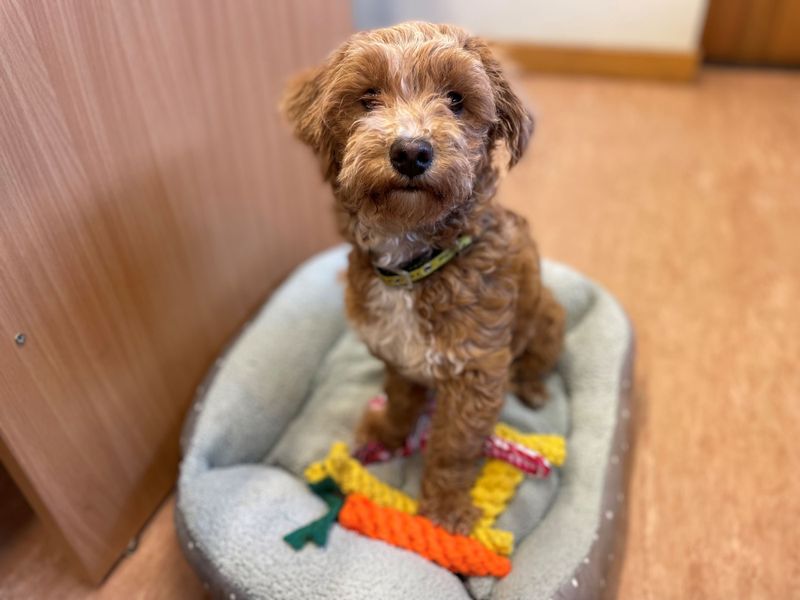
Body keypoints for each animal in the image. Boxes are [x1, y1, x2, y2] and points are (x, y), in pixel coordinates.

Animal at [284, 22, 564, 536]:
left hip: (549, 316)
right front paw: (389, 437)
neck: (415, 264)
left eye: (456, 99)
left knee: (536, 362)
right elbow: (398, 402)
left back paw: (533, 389)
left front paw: (447, 511)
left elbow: (454, 448)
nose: (411, 151)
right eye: (367, 97)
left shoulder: (476, 374)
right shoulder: (396, 355)